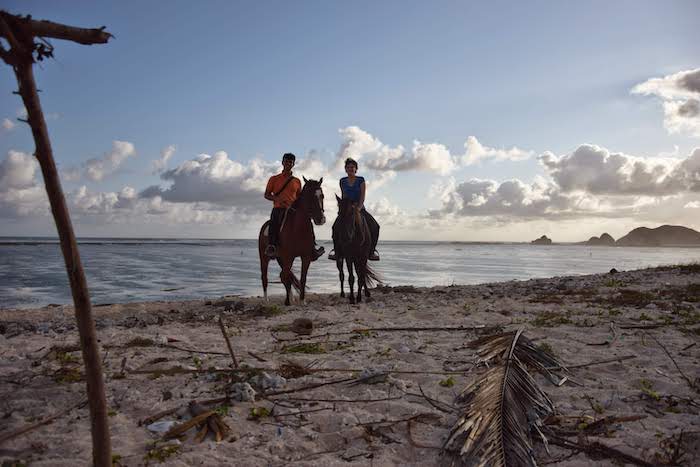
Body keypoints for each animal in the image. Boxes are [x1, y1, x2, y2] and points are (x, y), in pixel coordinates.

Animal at [258, 177, 325, 305]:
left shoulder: (305, 257)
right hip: (265, 258)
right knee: (265, 277)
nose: (321, 219)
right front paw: (287, 301)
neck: (298, 228)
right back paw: (266, 299)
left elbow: (302, 278)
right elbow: (285, 277)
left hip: (281, 258)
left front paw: (302, 300)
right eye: (310, 196)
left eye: (322, 196)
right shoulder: (288, 257)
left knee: (286, 275)